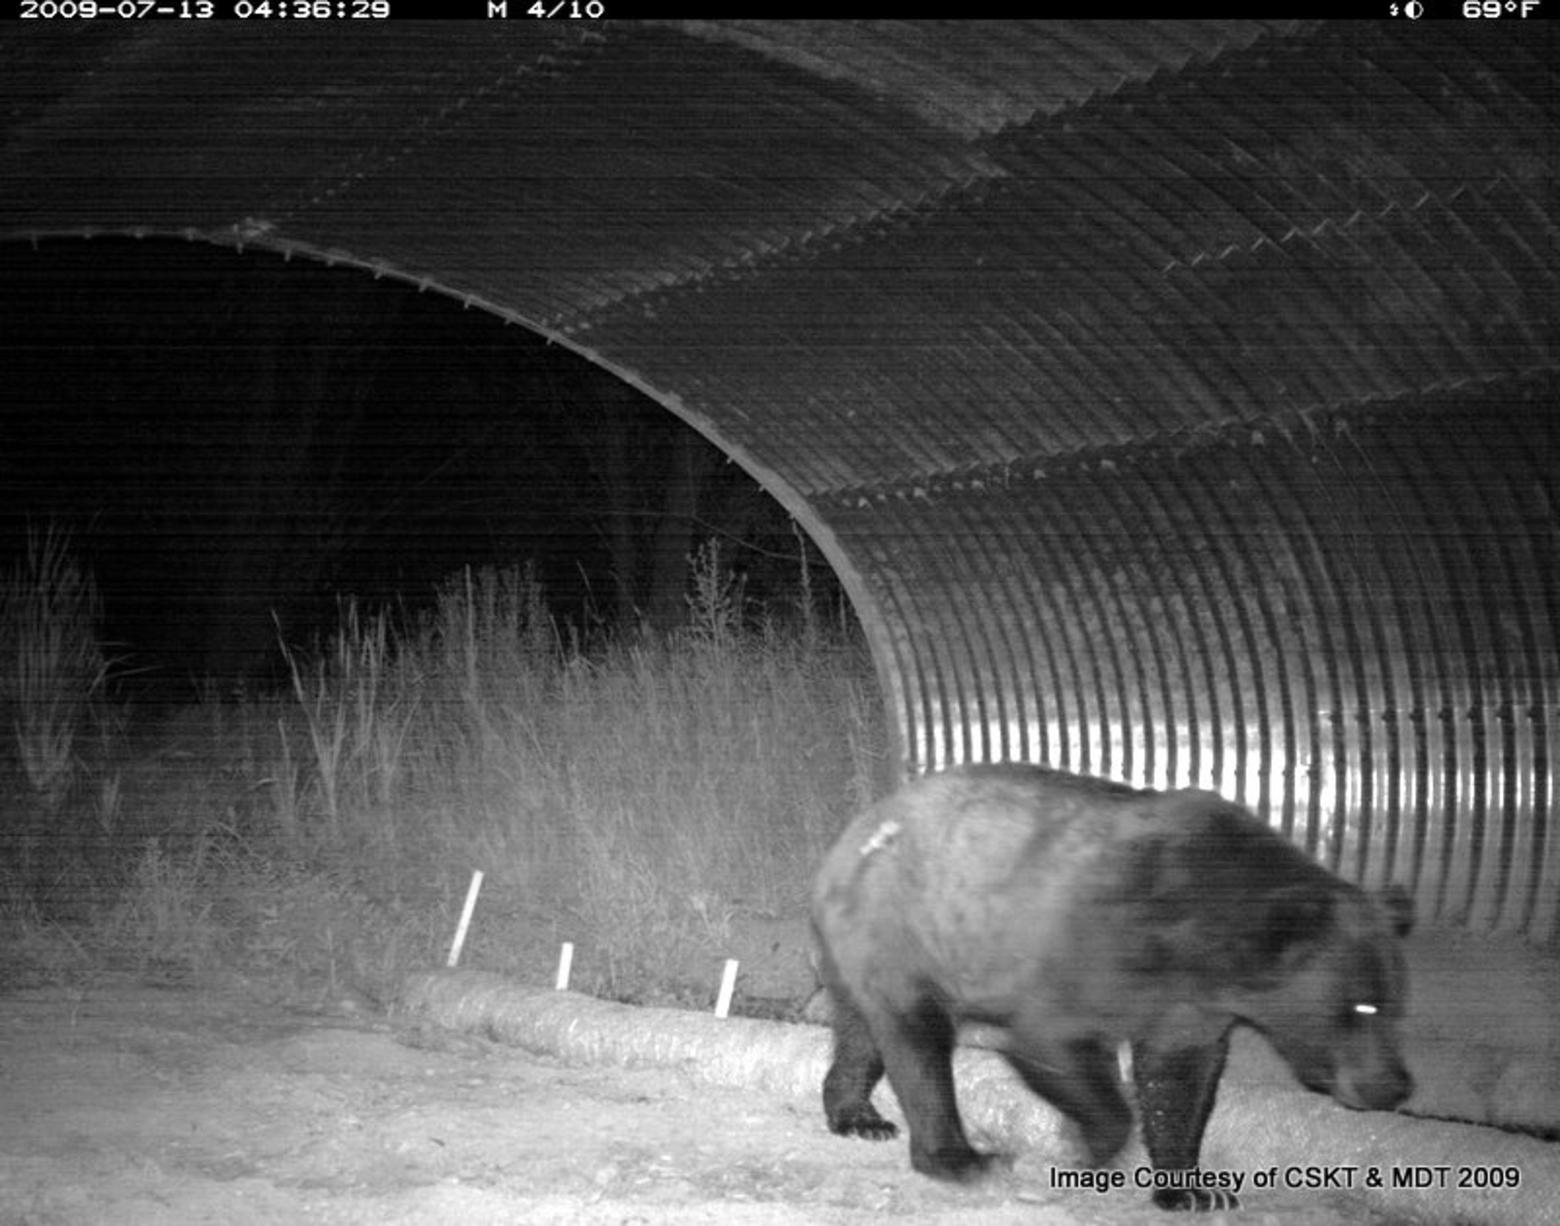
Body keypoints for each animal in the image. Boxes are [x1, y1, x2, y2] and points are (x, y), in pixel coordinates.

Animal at [817, 758, 1416, 1210]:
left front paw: (1191, 1190)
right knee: (918, 1045)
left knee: (865, 1036)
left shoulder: (1191, 1007)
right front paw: (1080, 1146)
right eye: (1361, 1007)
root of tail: (846, 840)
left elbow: (1179, 1082)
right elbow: (1052, 1041)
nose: (1393, 1086)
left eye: (1394, 1003)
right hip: (902, 934)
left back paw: (859, 1115)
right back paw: (959, 1158)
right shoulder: (1087, 946)